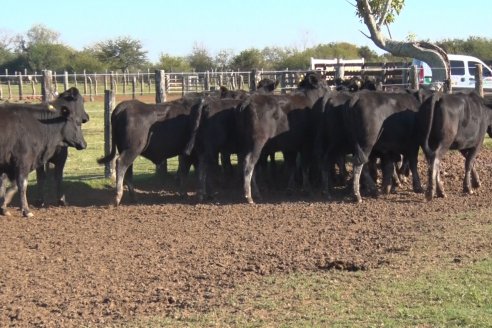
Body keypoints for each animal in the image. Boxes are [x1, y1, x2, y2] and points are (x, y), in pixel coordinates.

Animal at [0, 86, 87, 218]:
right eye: (77, 122)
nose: (84, 144)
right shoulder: (23, 161)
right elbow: (22, 184)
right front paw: (26, 210)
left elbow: (3, 185)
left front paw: (3, 208)